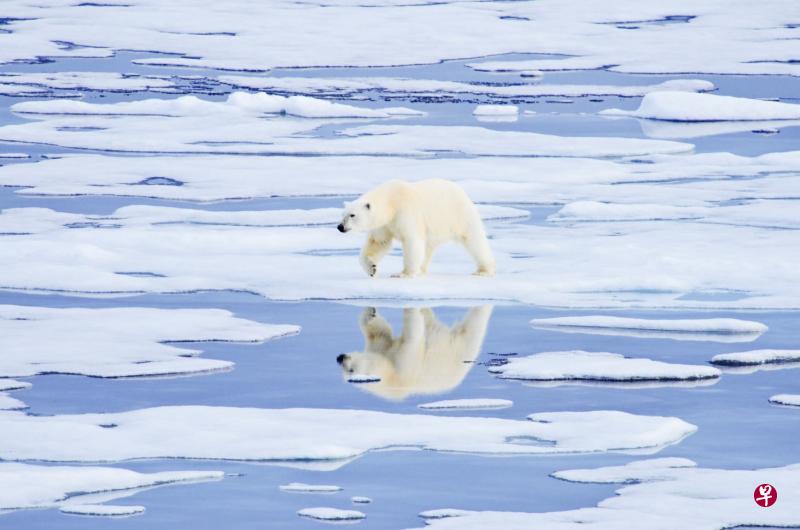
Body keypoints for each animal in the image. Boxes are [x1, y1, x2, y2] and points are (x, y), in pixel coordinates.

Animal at [336, 305, 493, 400]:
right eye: (350, 371)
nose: (340, 358)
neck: (389, 374)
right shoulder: (404, 368)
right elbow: (413, 336)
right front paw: (410, 310)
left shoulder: (381, 349)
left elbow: (380, 333)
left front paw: (370, 313)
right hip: (457, 350)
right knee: (473, 328)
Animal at [337, 179, 495, 278]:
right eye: (343, 214)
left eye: (352, 215)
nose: (340, 227)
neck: (391, 202)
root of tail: (460, 190)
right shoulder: (385, 224)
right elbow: (379, 242)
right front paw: (372, 268)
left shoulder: (407, 213)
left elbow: (412, 241)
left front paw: (403, 274)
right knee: (428, 248)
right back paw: (422, 270)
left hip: (459, 215)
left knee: (474, 240)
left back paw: (483, 270)